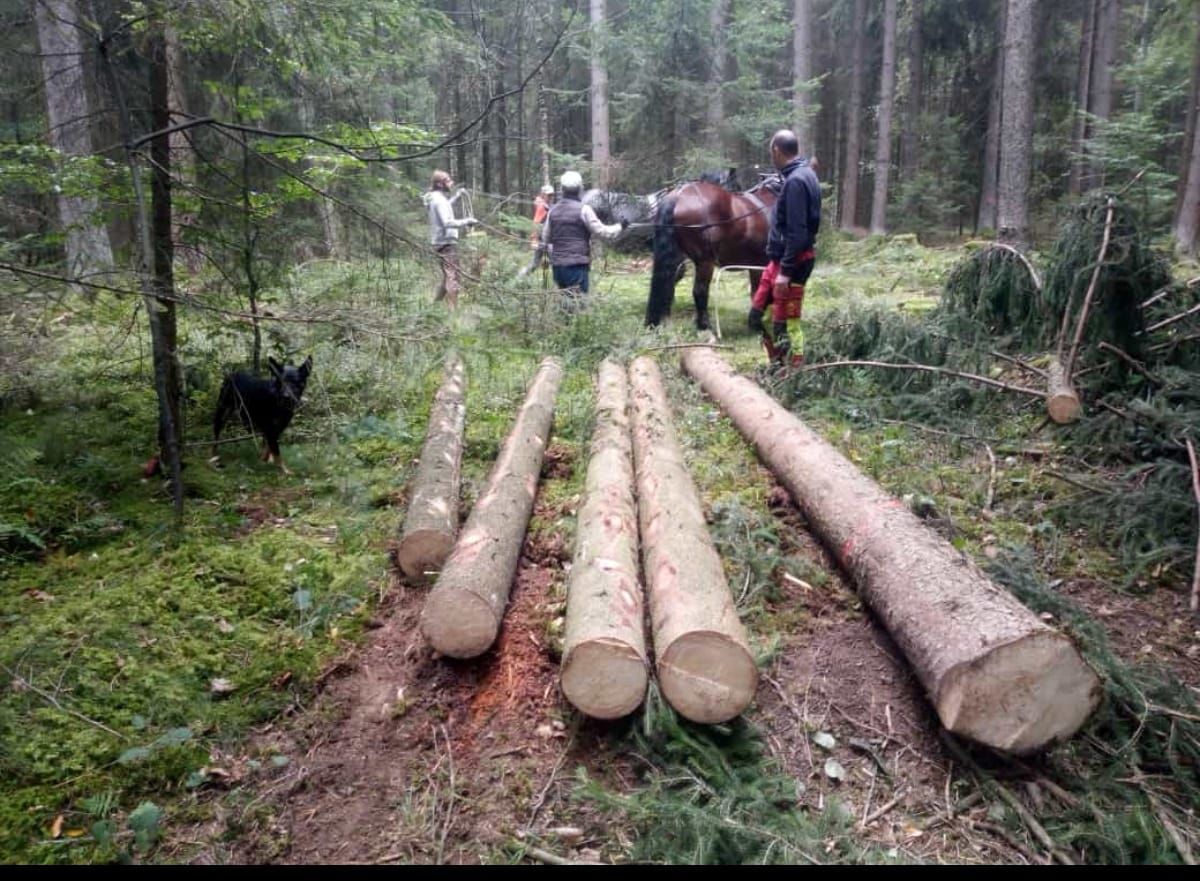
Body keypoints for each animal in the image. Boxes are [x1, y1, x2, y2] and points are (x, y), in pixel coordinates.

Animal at [645, 177, 780, 329]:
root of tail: (678, 195)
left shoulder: (755, 265)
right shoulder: (761, 264)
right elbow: (761, 292)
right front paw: (757, 325)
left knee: (668, 283)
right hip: (705, 261)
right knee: (699, 290)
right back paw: (705, 326)